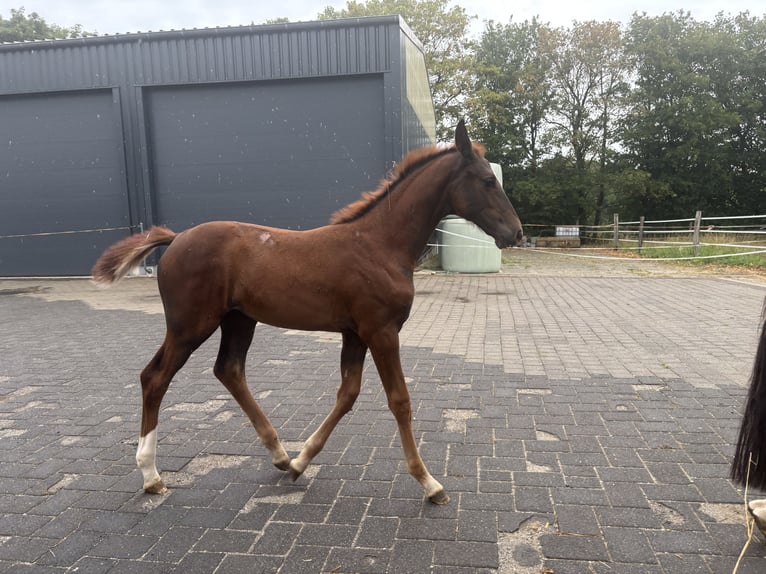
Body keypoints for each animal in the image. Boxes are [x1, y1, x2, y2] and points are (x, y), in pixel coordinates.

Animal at [92, 120, 523, 505]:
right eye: (488, 180)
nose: (516, 232)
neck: (379, 244)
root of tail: (177, 237)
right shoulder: (382, 331)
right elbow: (399, 400)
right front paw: (429, 482)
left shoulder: (355, 333)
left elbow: (347, 394)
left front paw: (301, 463)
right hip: (190, 326)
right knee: (155, 378)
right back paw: (151, 475)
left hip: (238, 320)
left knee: (228, 370)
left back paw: (281, 455)